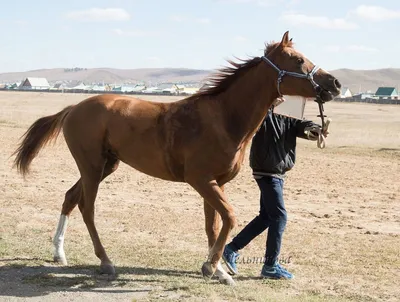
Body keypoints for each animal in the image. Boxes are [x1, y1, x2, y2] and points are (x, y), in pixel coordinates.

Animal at [11, 31, 340, 284]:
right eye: (298, 60)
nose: (334, 83)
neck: (224, 119)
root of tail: (73, 109)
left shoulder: (216, 183)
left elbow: (215, 225)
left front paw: (219, 271)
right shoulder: (201, 180)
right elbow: (230, 217)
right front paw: (211, 266)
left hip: (105, 166)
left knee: (70, 197)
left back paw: (59, 253)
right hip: (92, 168)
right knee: (86, 208)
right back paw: (105, 261)